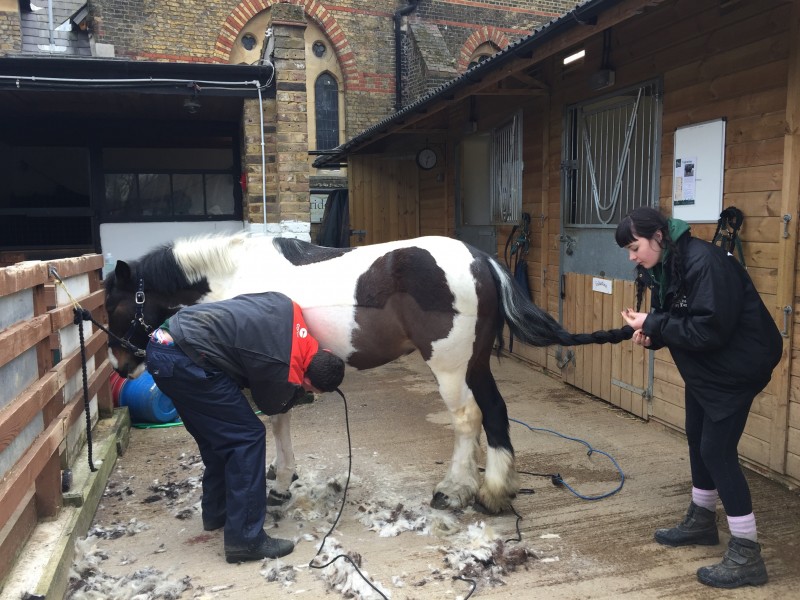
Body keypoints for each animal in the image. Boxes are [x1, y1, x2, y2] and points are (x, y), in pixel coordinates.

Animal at [104, 232, 632, 512]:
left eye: (115, 305)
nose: (121, 364)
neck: (236, 274)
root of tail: (480, 258)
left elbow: (276, 422)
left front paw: (280, 483)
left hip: (449, 367)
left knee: (468, 420)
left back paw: (452, 490)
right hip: (477, 364)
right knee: (496, 414)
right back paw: (494, 490)